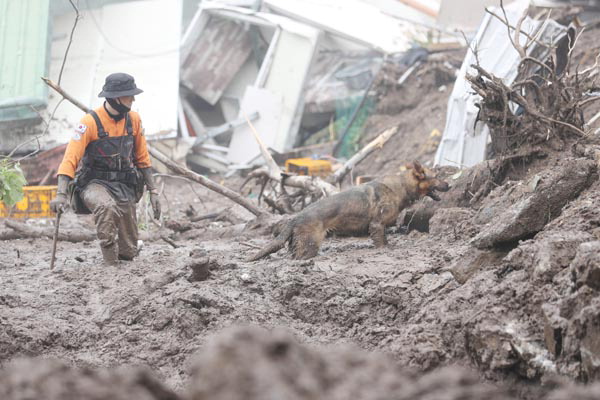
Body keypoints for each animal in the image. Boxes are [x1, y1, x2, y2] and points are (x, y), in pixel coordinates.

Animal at [246, 161, 448, 260]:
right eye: (437, 176)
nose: (450, 184)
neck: (403, 186)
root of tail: (296, 217)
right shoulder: (377, 224)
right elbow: (381, 242)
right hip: (310, 244)